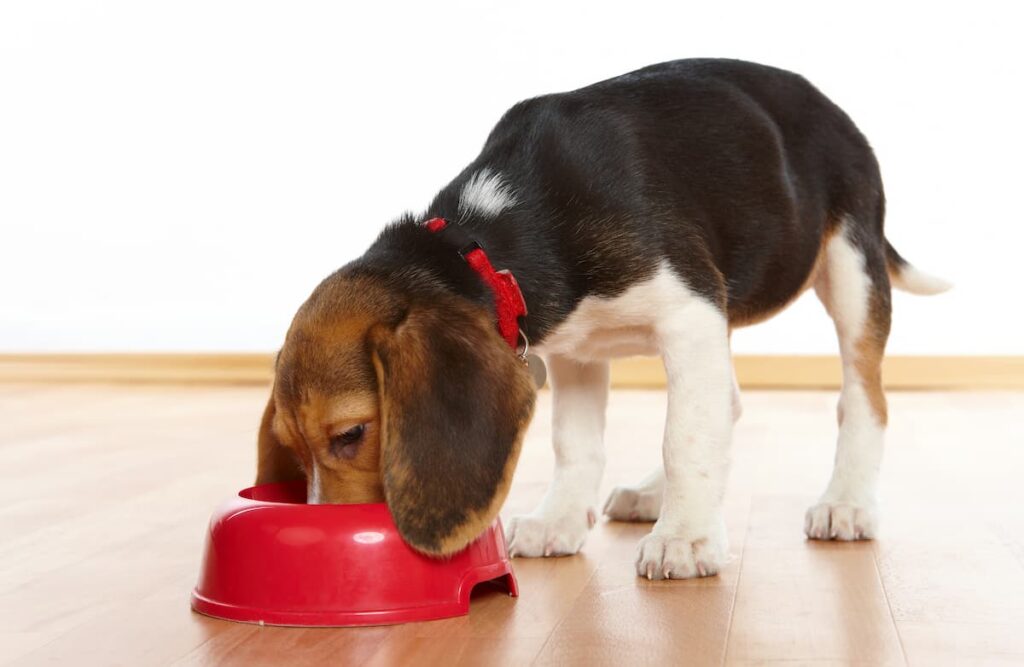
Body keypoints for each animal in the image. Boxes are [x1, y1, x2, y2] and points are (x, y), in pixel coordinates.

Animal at [253, 58, 942, 577]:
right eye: (289, 446)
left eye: (351, 434)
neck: (486, 240)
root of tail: (828, 102)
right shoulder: (575, 350)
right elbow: (577, 443)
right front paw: (560, 519)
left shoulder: (689, 311)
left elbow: (685, 436)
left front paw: (686, 539)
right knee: (726, 401)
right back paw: (652, 495)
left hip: (851, 265)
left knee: (863, 398)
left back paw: (845, 503)